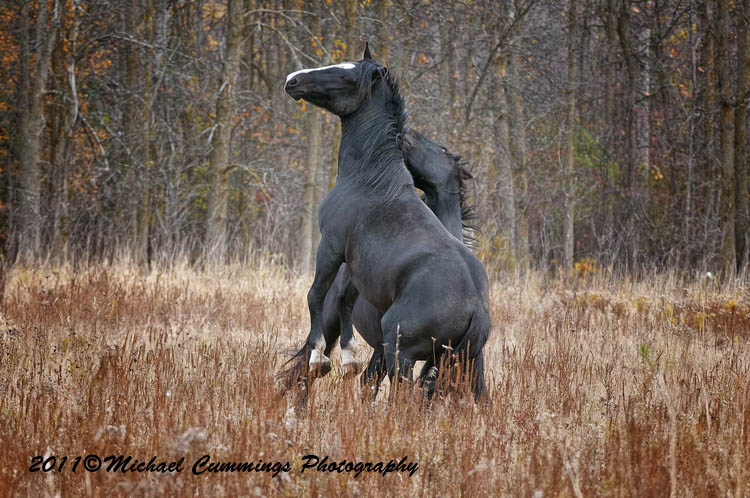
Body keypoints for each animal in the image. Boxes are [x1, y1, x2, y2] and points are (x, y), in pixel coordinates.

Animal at [282, 43, 491, 400]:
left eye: (347, 76)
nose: (292, 80)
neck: (370, 180)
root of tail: (476, 310)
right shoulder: (358, 266)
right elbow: (345, 299)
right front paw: (348, 359)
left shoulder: (331, 246)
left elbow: (315, 294)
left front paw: (323, 358)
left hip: (402, 356)